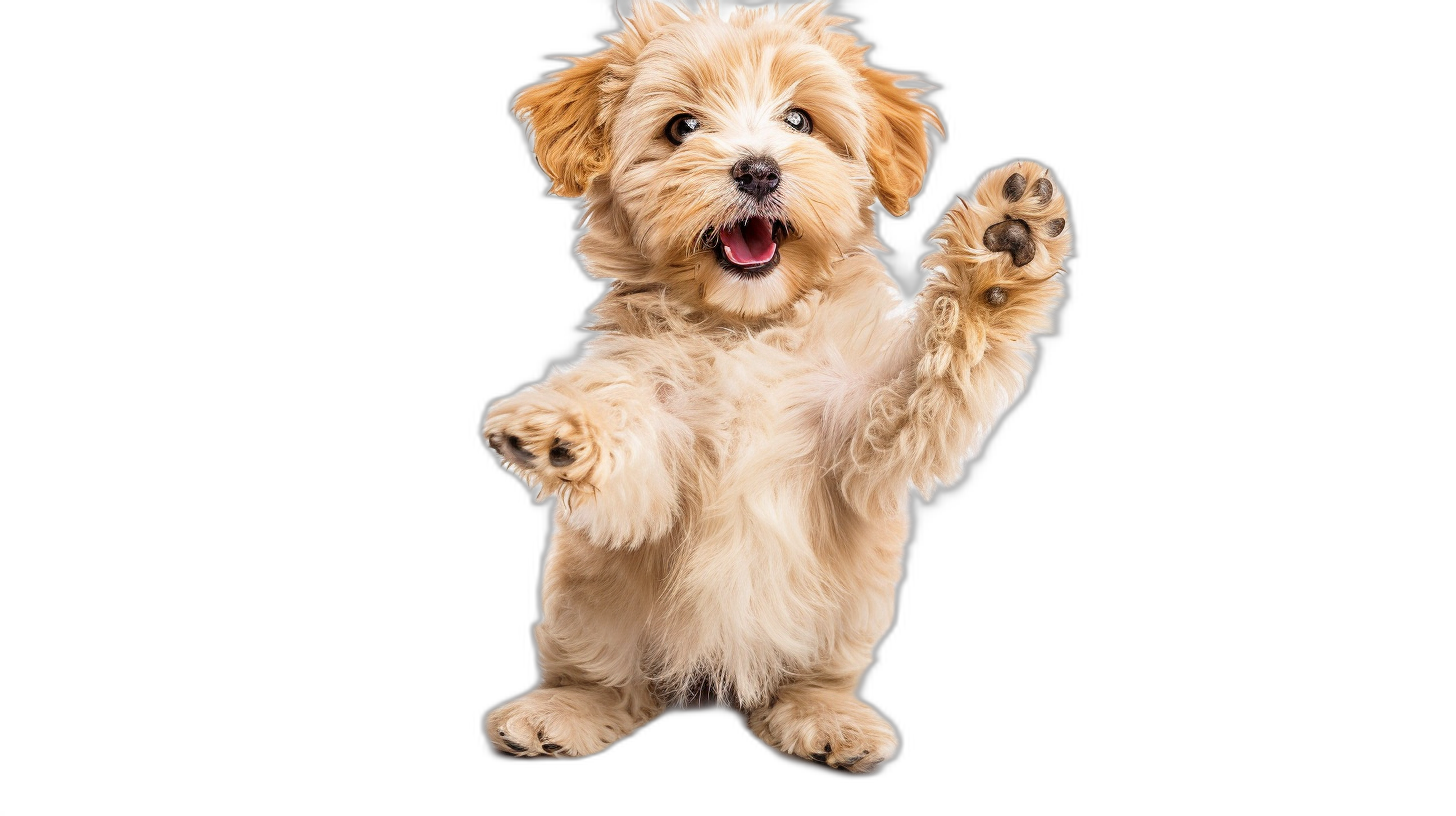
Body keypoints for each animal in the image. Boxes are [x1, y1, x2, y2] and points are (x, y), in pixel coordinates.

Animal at [483, 0, 1065, 775]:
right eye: (682, 127)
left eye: (799, 121)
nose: (758, 170)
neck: (747, 328)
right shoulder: (657, 437)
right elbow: (630, 437)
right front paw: (557, 427)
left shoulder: (865, 428)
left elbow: (921, 377)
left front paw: (1003, 256)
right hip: (592, 605)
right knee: (608, 677)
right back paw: (564, 710)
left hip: (842, 621)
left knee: (805, 681)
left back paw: (825, 717)